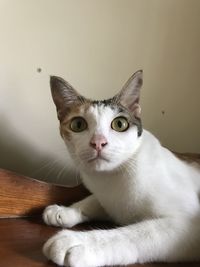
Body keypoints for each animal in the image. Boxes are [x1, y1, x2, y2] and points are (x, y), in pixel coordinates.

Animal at [42, 70, 200, 266]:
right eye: (78, 124)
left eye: (120, 124)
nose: (98, 142)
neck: (112, 179)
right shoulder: (108, 200)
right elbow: (93, 201)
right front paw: (64, 211)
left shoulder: (189, 225)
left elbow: (138, 234)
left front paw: (79, 243)